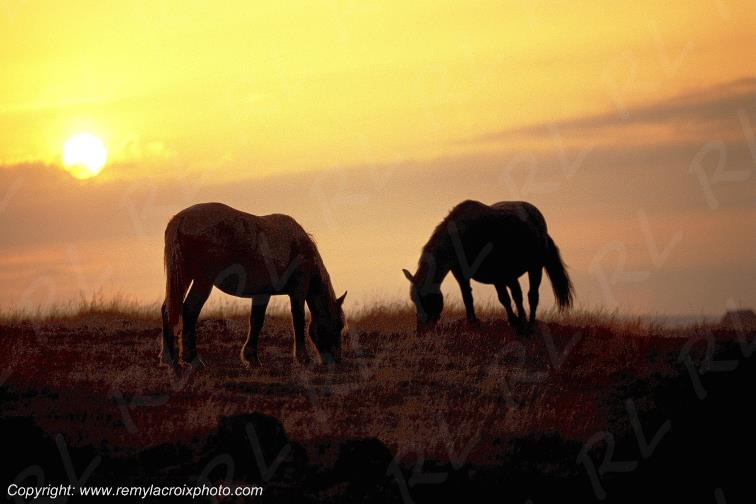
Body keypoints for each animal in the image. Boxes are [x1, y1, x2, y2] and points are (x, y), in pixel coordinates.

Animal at [160, 202, 347, 369]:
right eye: (338, 324)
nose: (337, 360)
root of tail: (181, 219)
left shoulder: (262, 294)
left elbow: (256, 321)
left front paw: (252, 359)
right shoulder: (298, 290)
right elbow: (298, 319)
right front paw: (304, 359)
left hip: (184, 277)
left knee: (168, 310)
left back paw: (170, 359)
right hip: (202, 280)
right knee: (190, 310)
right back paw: (193, 360)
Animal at [402, 200, 573, 332]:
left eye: (426, 298)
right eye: (414, 300)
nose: (421, 329)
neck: (465, 236)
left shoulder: (500, 274)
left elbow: (506, 298)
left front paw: (517, 322)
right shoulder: (462, 274)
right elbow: (468, 296)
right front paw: (472, 322)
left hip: (534, 267)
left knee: (532, 295)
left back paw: (530, 324)